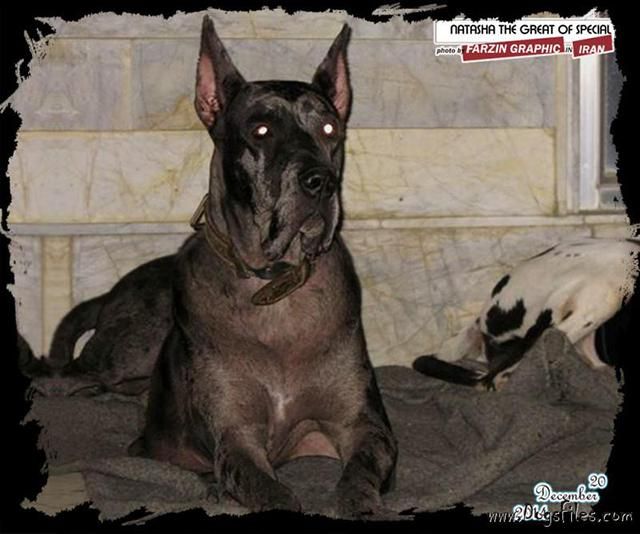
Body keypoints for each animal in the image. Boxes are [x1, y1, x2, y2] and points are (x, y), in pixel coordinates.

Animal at [125, 18, 397, 516]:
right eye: (263, 129)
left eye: (330, 128)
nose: (321, 182)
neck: (277, 288)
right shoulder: (235, 437)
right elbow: (267, 489)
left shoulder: (364, 425)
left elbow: (360, 472)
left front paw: (361, 503)